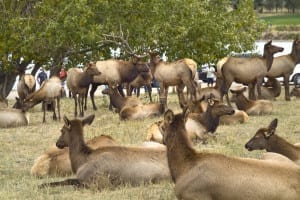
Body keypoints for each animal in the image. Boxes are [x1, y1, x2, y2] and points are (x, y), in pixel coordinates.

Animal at [39, 114, 170, 189]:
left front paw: (43, 185)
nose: (57, 143)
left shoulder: (95, 181)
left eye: (62, 130)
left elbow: (67, 181)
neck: (80, 161)